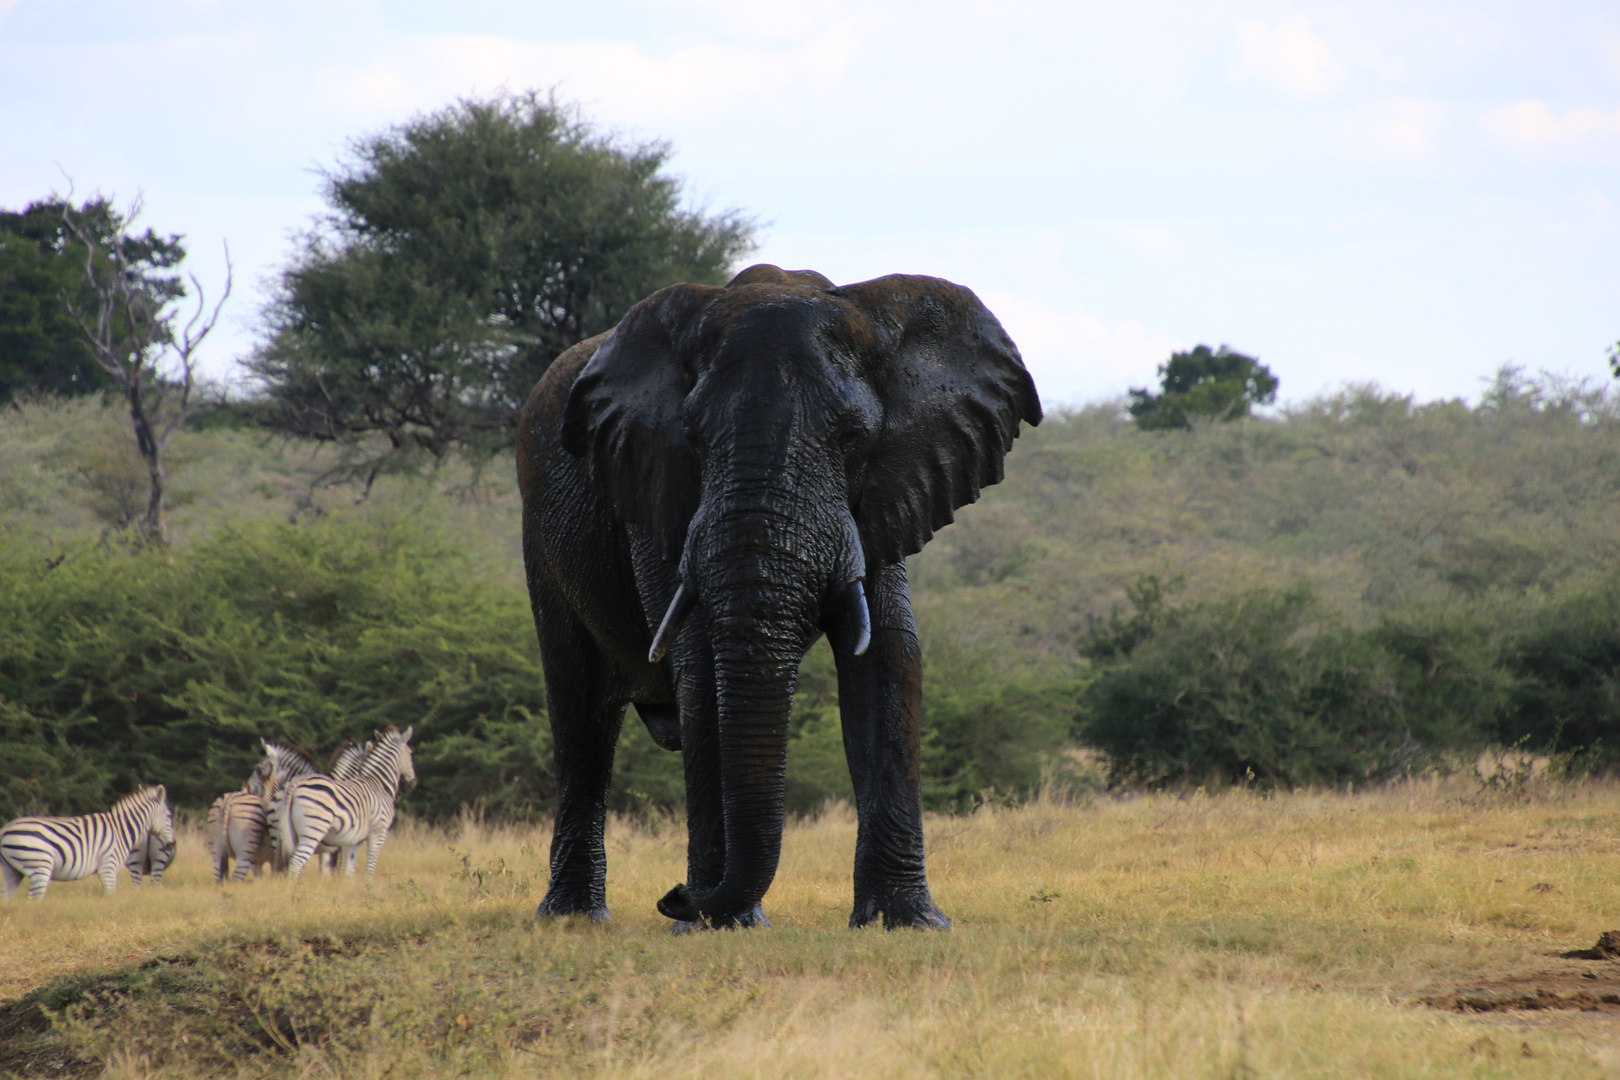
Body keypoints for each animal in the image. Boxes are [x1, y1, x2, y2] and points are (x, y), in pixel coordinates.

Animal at [1, 786, 174, 906]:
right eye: (169, 816)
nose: (171, 845)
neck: (121, 828)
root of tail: (5, 829)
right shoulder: (108, 866)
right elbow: (110, 895)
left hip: (13, 870)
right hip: (40, 865)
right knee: (34, 899)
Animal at [275, 725, 411, 880]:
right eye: (410, 753)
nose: (410, 782)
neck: (378, 783)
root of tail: (295, 784)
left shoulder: (353, 840)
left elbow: (348, 869)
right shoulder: (378, 832)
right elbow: (369, 866)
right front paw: (368, 885)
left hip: (290, 834)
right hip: (313, 831)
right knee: (296, 862)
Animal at [524, 262, 1043, 932]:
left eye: (855, 439)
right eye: (693, 437)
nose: (671, 896)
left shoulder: (888, 489)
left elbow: (888, 657)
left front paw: (905, 923)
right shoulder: (654, 482)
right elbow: (701, 664)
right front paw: (718, 927)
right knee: (580, 714)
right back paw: (572, 920)